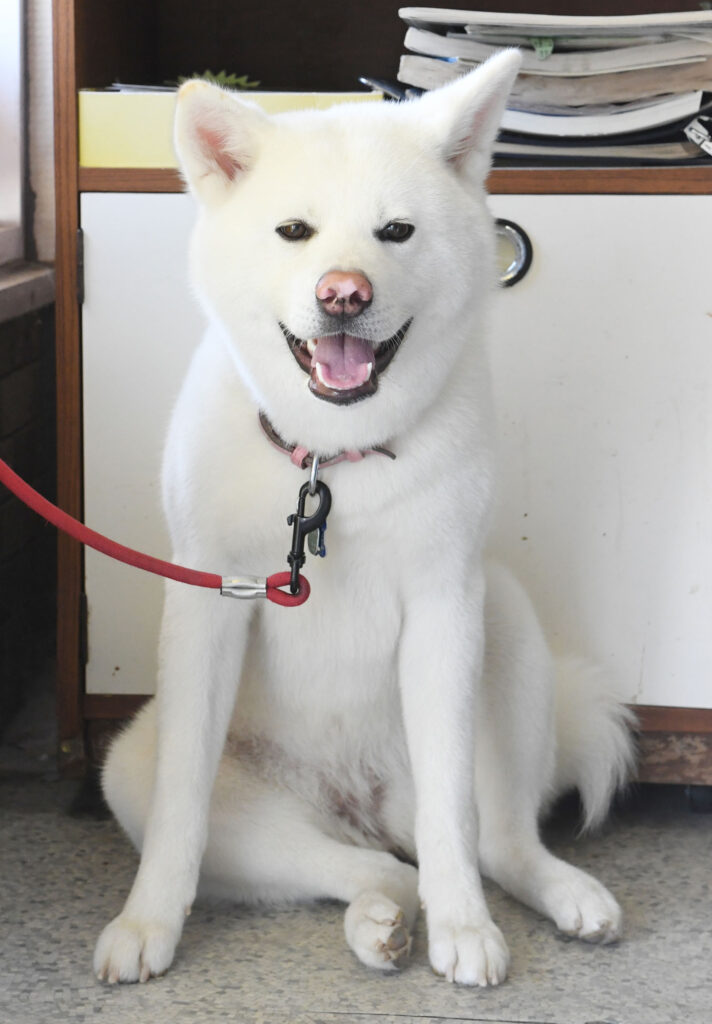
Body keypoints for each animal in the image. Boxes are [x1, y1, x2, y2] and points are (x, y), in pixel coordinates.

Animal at [91, 51, 631, 987]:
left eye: (397, 232)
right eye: (295, 231)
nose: (343, 293)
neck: (331, 458)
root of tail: (359, 802)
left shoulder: (446, 607)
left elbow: (456, 817)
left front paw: (466, 930)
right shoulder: (207, 601)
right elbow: (180, 808)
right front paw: (147, 922)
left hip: (505, 621)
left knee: (493, 842)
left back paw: (554, 893)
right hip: (141, 771)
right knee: (374, 869)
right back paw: (379, 921)